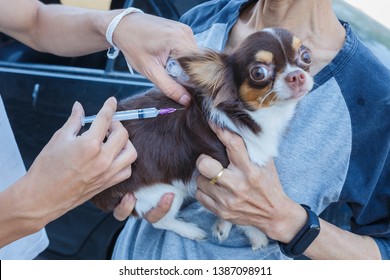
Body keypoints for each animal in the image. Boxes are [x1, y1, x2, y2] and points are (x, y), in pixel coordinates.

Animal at [90, 27, 314, 249]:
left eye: (306, 56)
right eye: (259, 73)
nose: (297, 75)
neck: (248, 115)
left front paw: (223, 226)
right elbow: (242, 215)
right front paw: (257, 235)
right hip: (161, 193)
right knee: (160, 221)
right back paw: (192, 231)